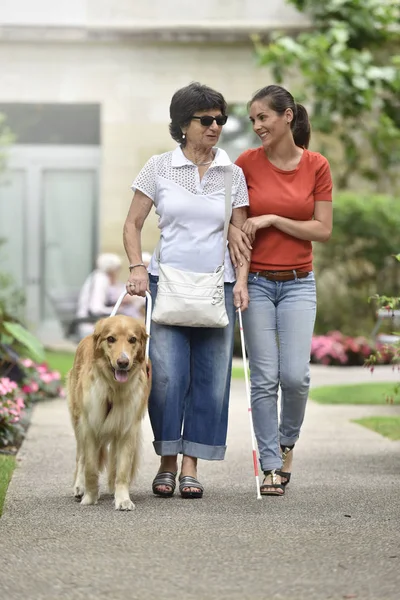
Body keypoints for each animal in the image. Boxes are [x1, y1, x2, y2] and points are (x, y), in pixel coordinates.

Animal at [67, 314, 150, 510]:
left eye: (132, 340)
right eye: (111, 339)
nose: (123, 362)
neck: (113, 388)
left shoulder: (127, 429)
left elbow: (122, 469)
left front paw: (123, 499)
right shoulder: (89, 427)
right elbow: (90, 467)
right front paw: (89, 497)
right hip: (77, 421)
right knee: (80, 457)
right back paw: (79, 487)